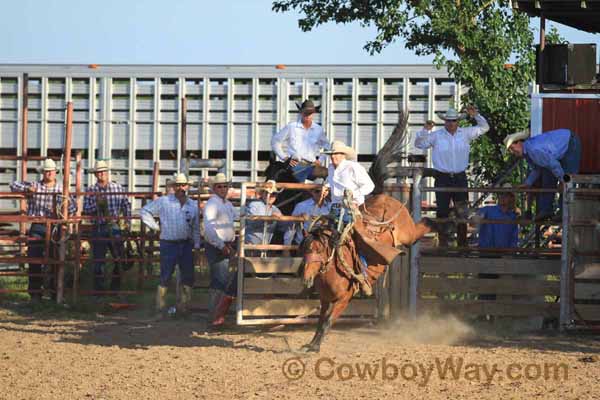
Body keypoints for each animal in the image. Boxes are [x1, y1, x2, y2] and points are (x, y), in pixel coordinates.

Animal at [300, 192, 432, 352]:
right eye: (304, 249)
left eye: (319, 250)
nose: (306, 278)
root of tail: (386, 197)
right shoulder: (325, 299)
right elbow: (320, 322)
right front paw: (312, 343)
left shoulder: (344, 299)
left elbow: (327, 321)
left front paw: (316, 347)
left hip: (408, 234)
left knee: (423, 225)